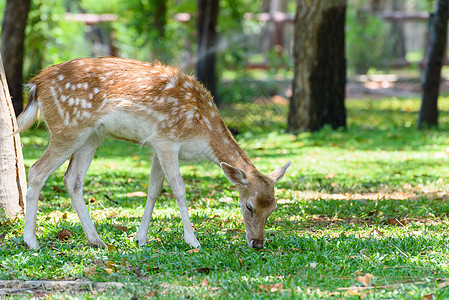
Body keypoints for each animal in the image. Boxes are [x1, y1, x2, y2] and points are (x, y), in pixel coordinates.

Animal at [14, 57, 290, 250]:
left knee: (72, 179)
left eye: (273, 208)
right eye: (248, 206)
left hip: (91, 136)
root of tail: (37, 84)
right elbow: (179, 190)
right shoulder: (167, 139)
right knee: (37, 170)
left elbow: (154, 190)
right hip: (67, 128)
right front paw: (192, 240)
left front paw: (141, 238)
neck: (203, 131)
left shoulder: (157, 146)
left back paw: (96, 241)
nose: (257, 244)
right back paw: (31, 241)